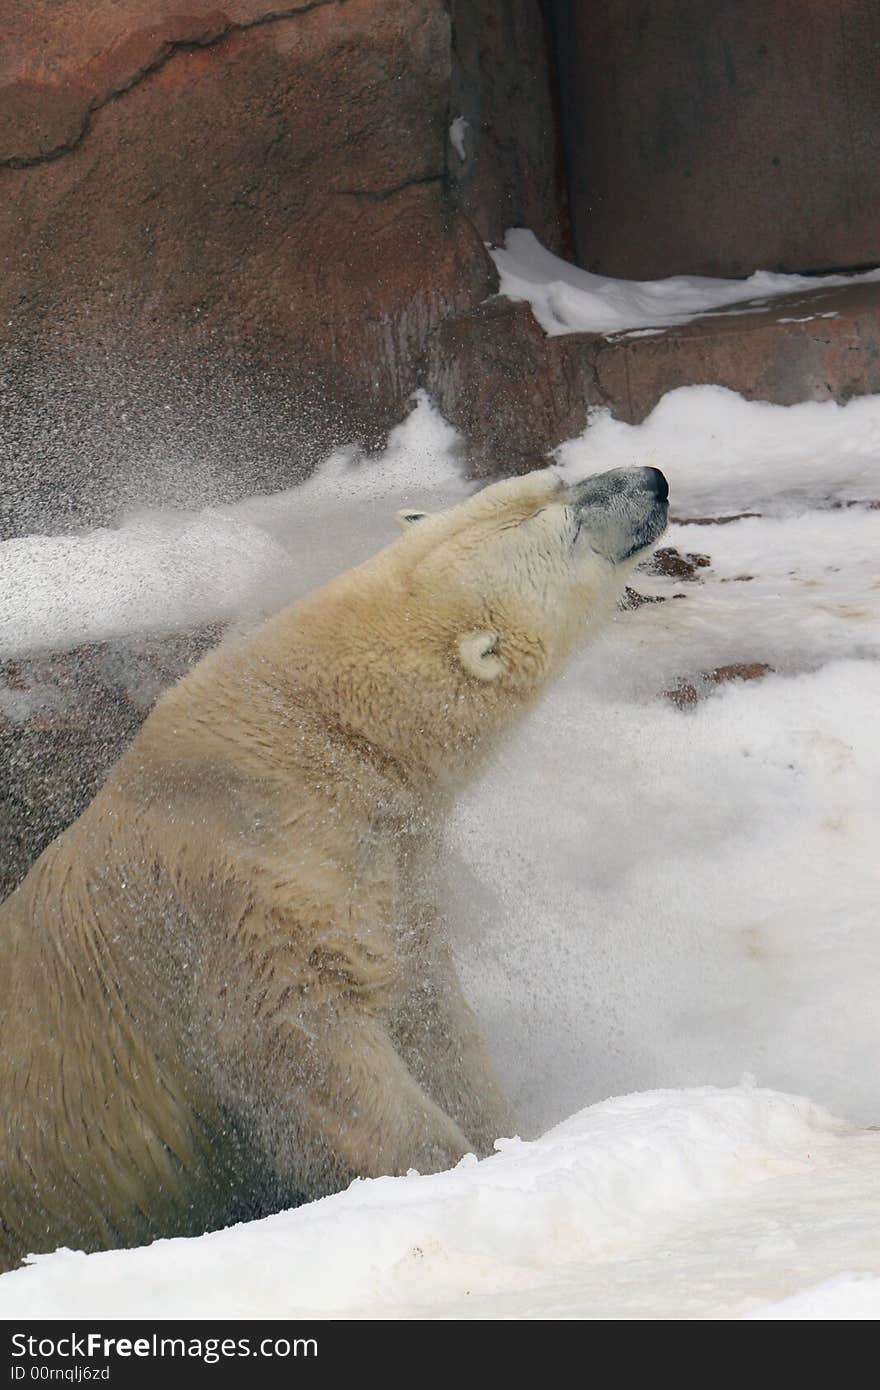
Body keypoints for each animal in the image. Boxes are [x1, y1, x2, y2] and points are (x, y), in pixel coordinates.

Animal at [0, 464, 664, 1273]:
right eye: (569, 526)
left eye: (559, 477)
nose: (654, 481)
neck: (310, 733)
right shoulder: (248, 896)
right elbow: (318, 1057)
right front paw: (450, 1173)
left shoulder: (393, 875)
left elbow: (431, 1018)